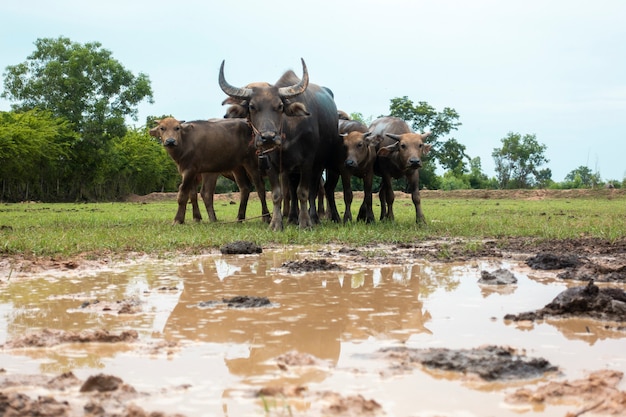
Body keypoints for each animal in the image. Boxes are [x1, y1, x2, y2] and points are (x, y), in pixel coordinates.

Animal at [217, 57, 338, 231]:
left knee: (313, 189)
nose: (268, 138)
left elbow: (304, 192)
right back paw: (292, 218)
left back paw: (313, 217)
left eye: (280, 106)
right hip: (289, 169)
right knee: (292, 191)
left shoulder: (307, 161)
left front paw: (305, 222)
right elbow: (277, 194)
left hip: (319, 163)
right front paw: (276, 223)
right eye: (252, 106)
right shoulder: (271, 163)